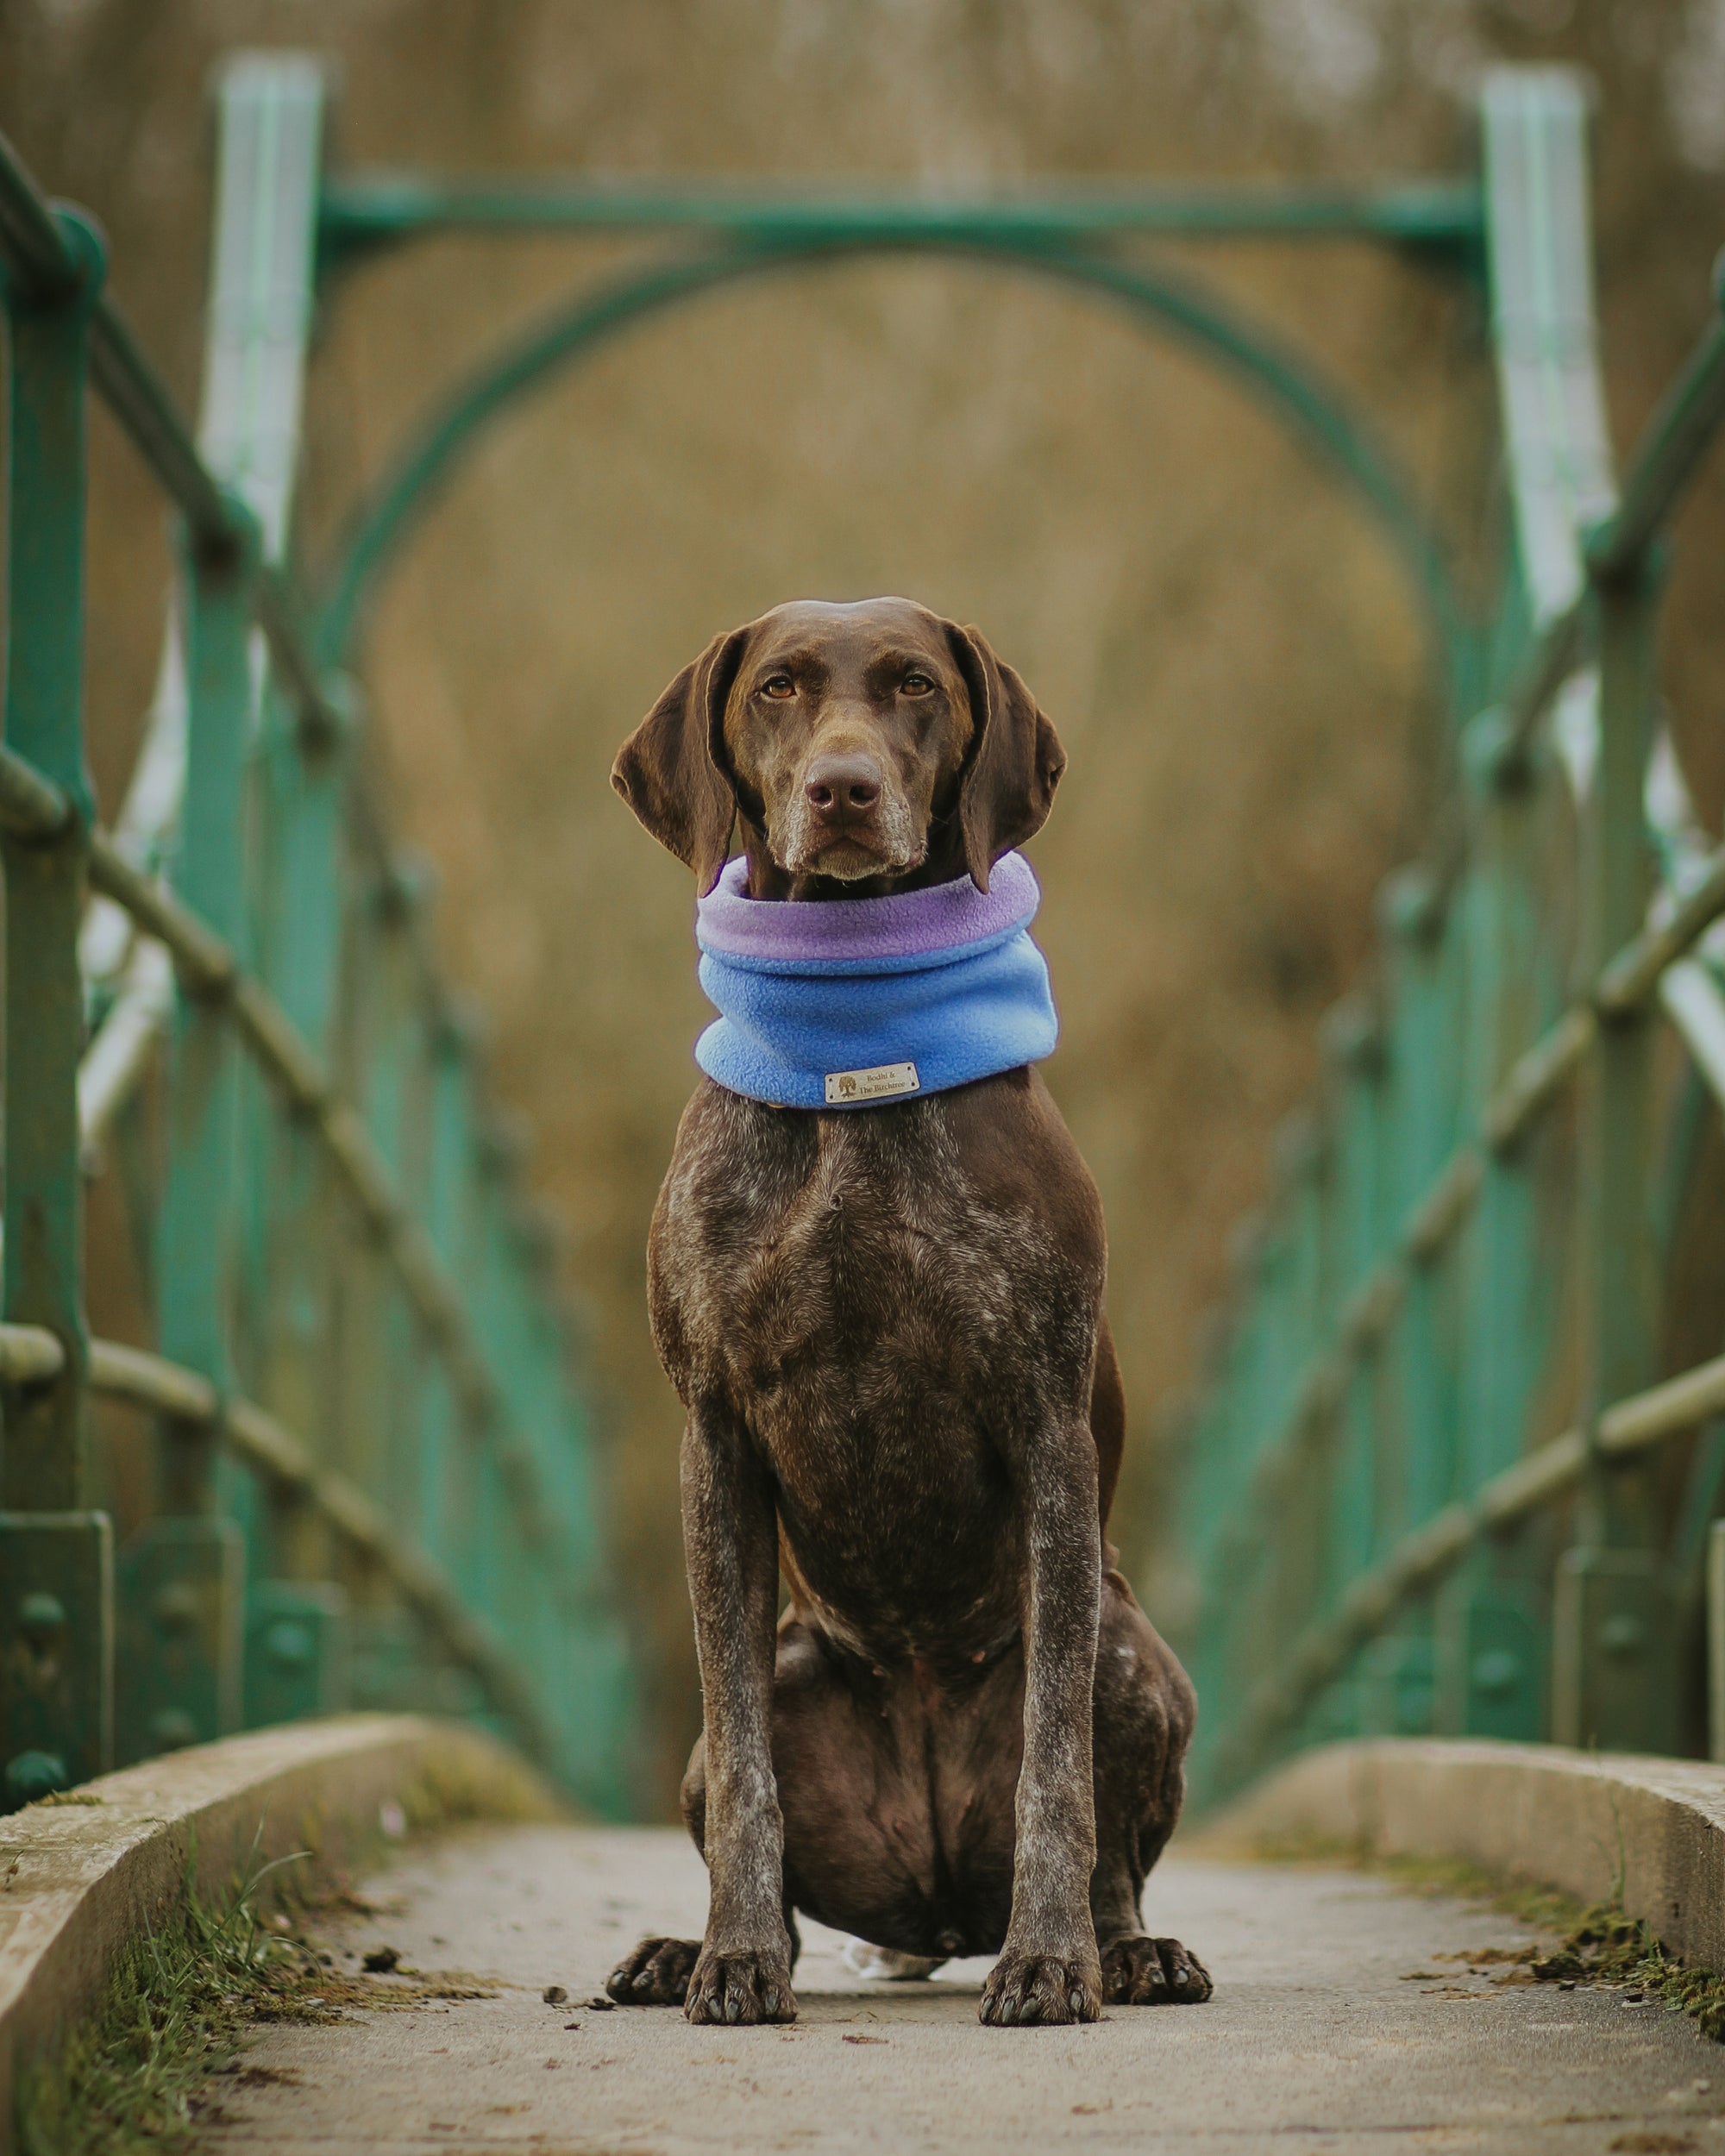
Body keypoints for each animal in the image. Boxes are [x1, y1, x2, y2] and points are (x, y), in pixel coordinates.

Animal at [608, 604, 1216, 2018]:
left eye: (917, 688)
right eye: (777, 688)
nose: (844, 789)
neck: (854, 1058)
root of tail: (935, 1904)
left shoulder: (1047, 1433)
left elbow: (1056, 1770)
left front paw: (1048, 1960)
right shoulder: (714, 1438)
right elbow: (749, 1783)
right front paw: (733, 1959)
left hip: (1133, 1651)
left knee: (1111, 1845)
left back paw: (1125, 1948)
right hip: (777, 1680)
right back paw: (686, 1947)